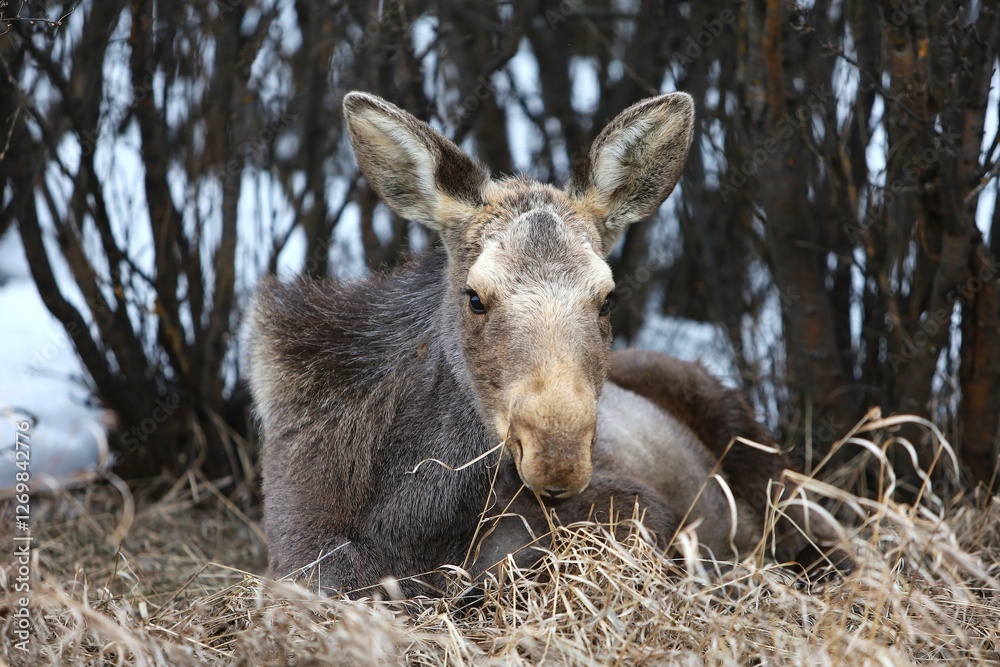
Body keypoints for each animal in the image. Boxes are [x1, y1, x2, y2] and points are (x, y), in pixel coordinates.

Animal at [242, 91, 840, 598]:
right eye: (475, 297)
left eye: (608, 298)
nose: (558, 455)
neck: (410, 525)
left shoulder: (637, 506)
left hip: (764, 461)